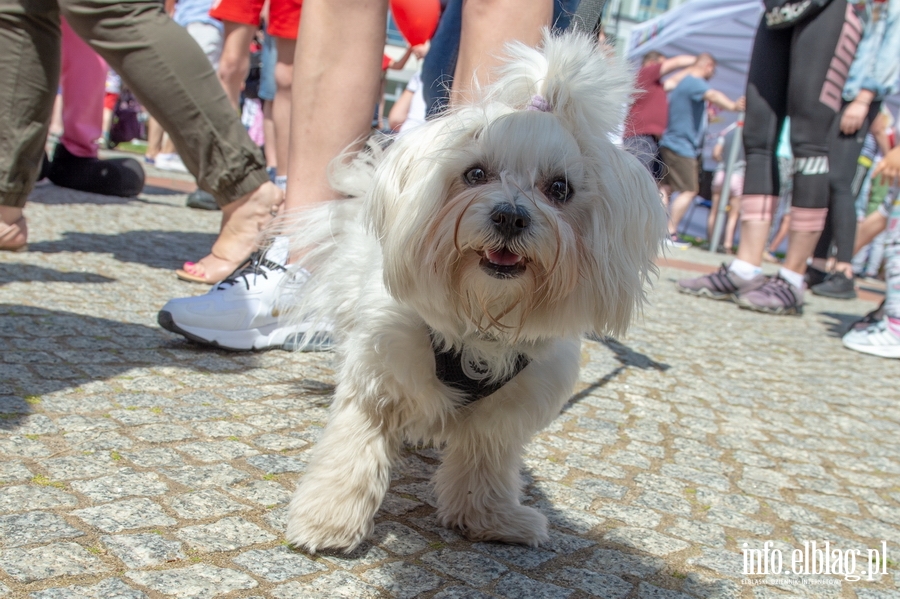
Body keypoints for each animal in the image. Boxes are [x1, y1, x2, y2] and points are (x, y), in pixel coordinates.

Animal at [282, 30, 668, 556]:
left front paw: (489, 518)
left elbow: (486, 462)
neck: (479, 322)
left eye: (560, 188)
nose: (510, 216)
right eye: (475, 174)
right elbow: (353, 448)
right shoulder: (377, 376)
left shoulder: (507, 409)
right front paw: (328, 518)